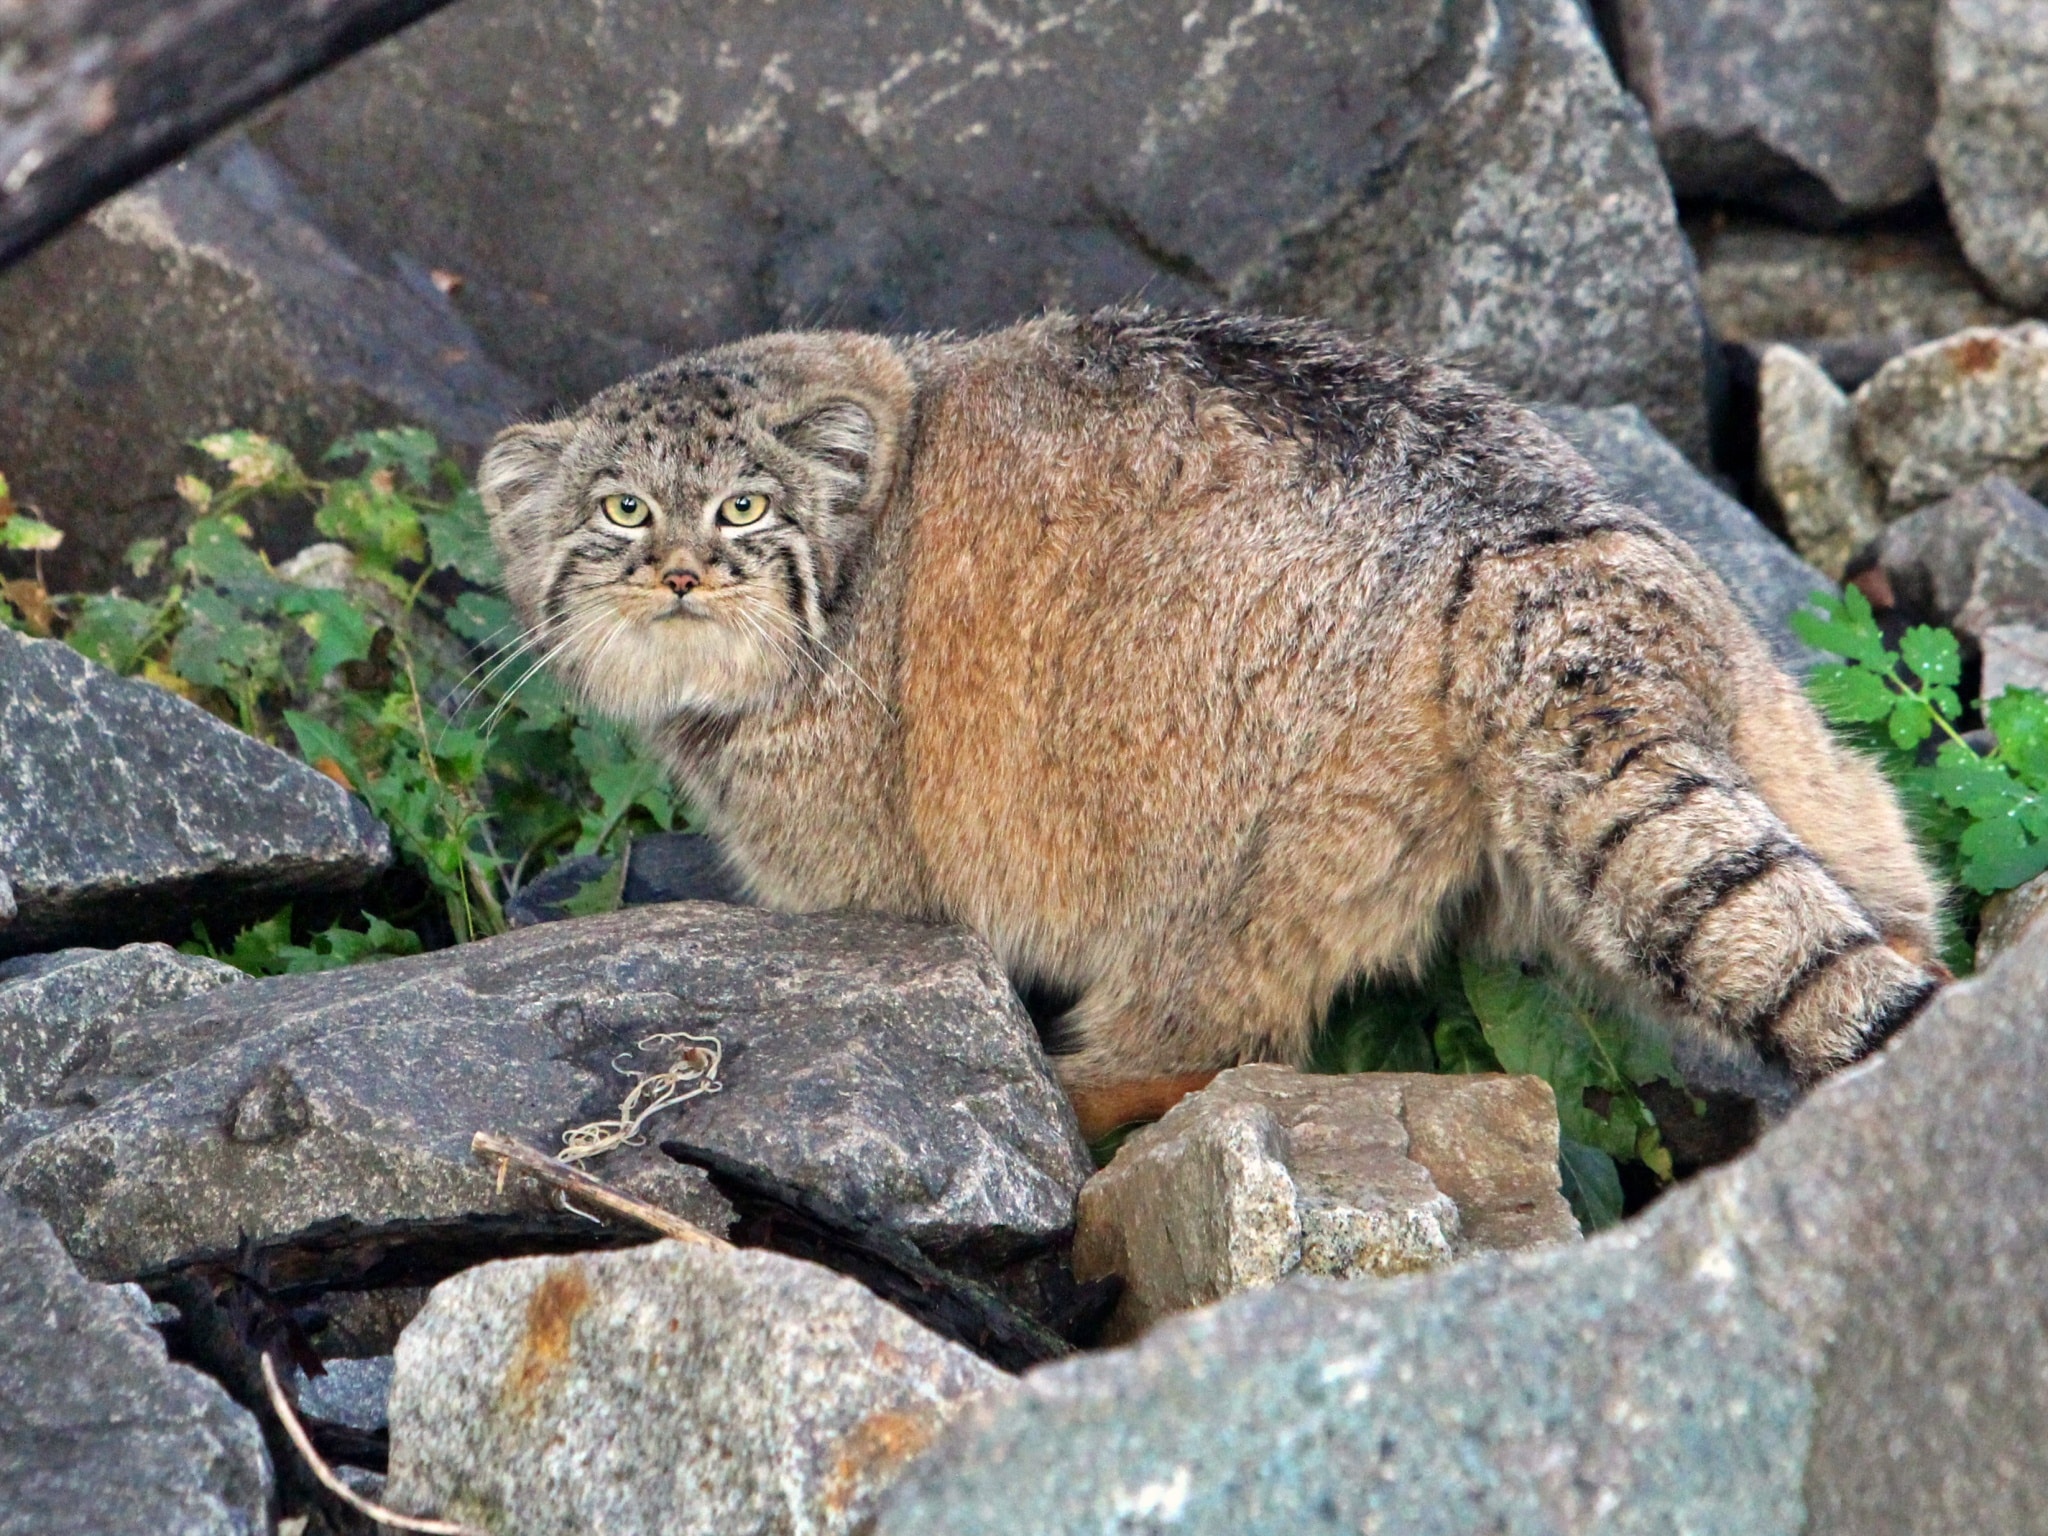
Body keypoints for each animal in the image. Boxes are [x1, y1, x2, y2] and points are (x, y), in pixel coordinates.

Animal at [483, 307, 1949, 1138]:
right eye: (621, 508)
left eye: (743, 508)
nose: (681, 573)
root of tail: (1526, 551)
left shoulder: (863, 866)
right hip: (1784, 737)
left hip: (1228, 855)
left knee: (1210, 1037)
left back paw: (1080, 1102)